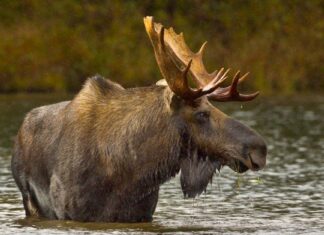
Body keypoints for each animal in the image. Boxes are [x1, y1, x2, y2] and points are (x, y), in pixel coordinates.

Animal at [11, 16, 268, 222]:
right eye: (202, 114)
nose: (260, 148)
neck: (132, 171)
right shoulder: (71, 212)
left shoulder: (142, 214)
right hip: (30, 202)